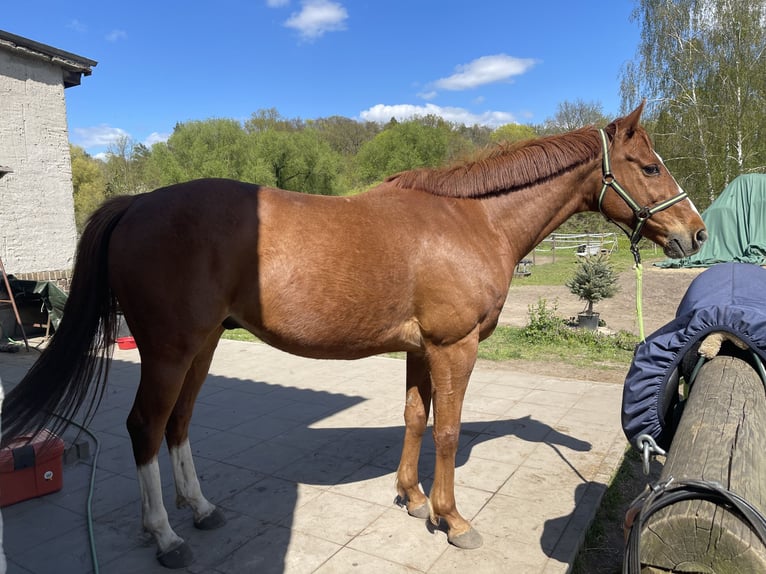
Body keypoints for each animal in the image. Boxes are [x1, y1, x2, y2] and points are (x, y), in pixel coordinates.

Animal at [2, 103, 706, 568]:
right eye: (648, 166)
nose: (695, 233)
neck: (470, 220)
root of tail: (136, 204)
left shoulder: (422, 350)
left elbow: (416, 419)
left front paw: (413, 499)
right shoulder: (454, 347)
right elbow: (447, 431)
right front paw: (453, 519)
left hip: (201, 348)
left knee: (177, 426)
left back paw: (198, 510)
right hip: (170, 350)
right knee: (145, 428)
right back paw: (165, 536)